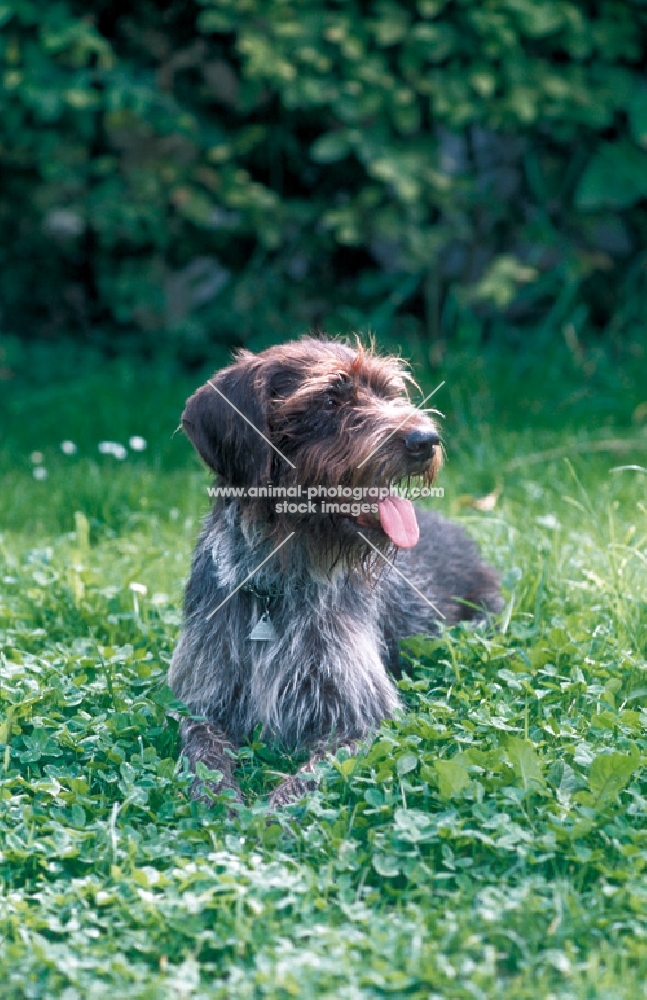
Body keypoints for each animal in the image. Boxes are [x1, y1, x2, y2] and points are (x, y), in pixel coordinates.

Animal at [170, 340, 504, 808]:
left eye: (388, 392)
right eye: (330, 399)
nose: (425, 440)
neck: (278, 580)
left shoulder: (360, 718)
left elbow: (306, 781)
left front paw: (267, 816)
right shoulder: (203, 703)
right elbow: (203, 753)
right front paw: (221, 802)